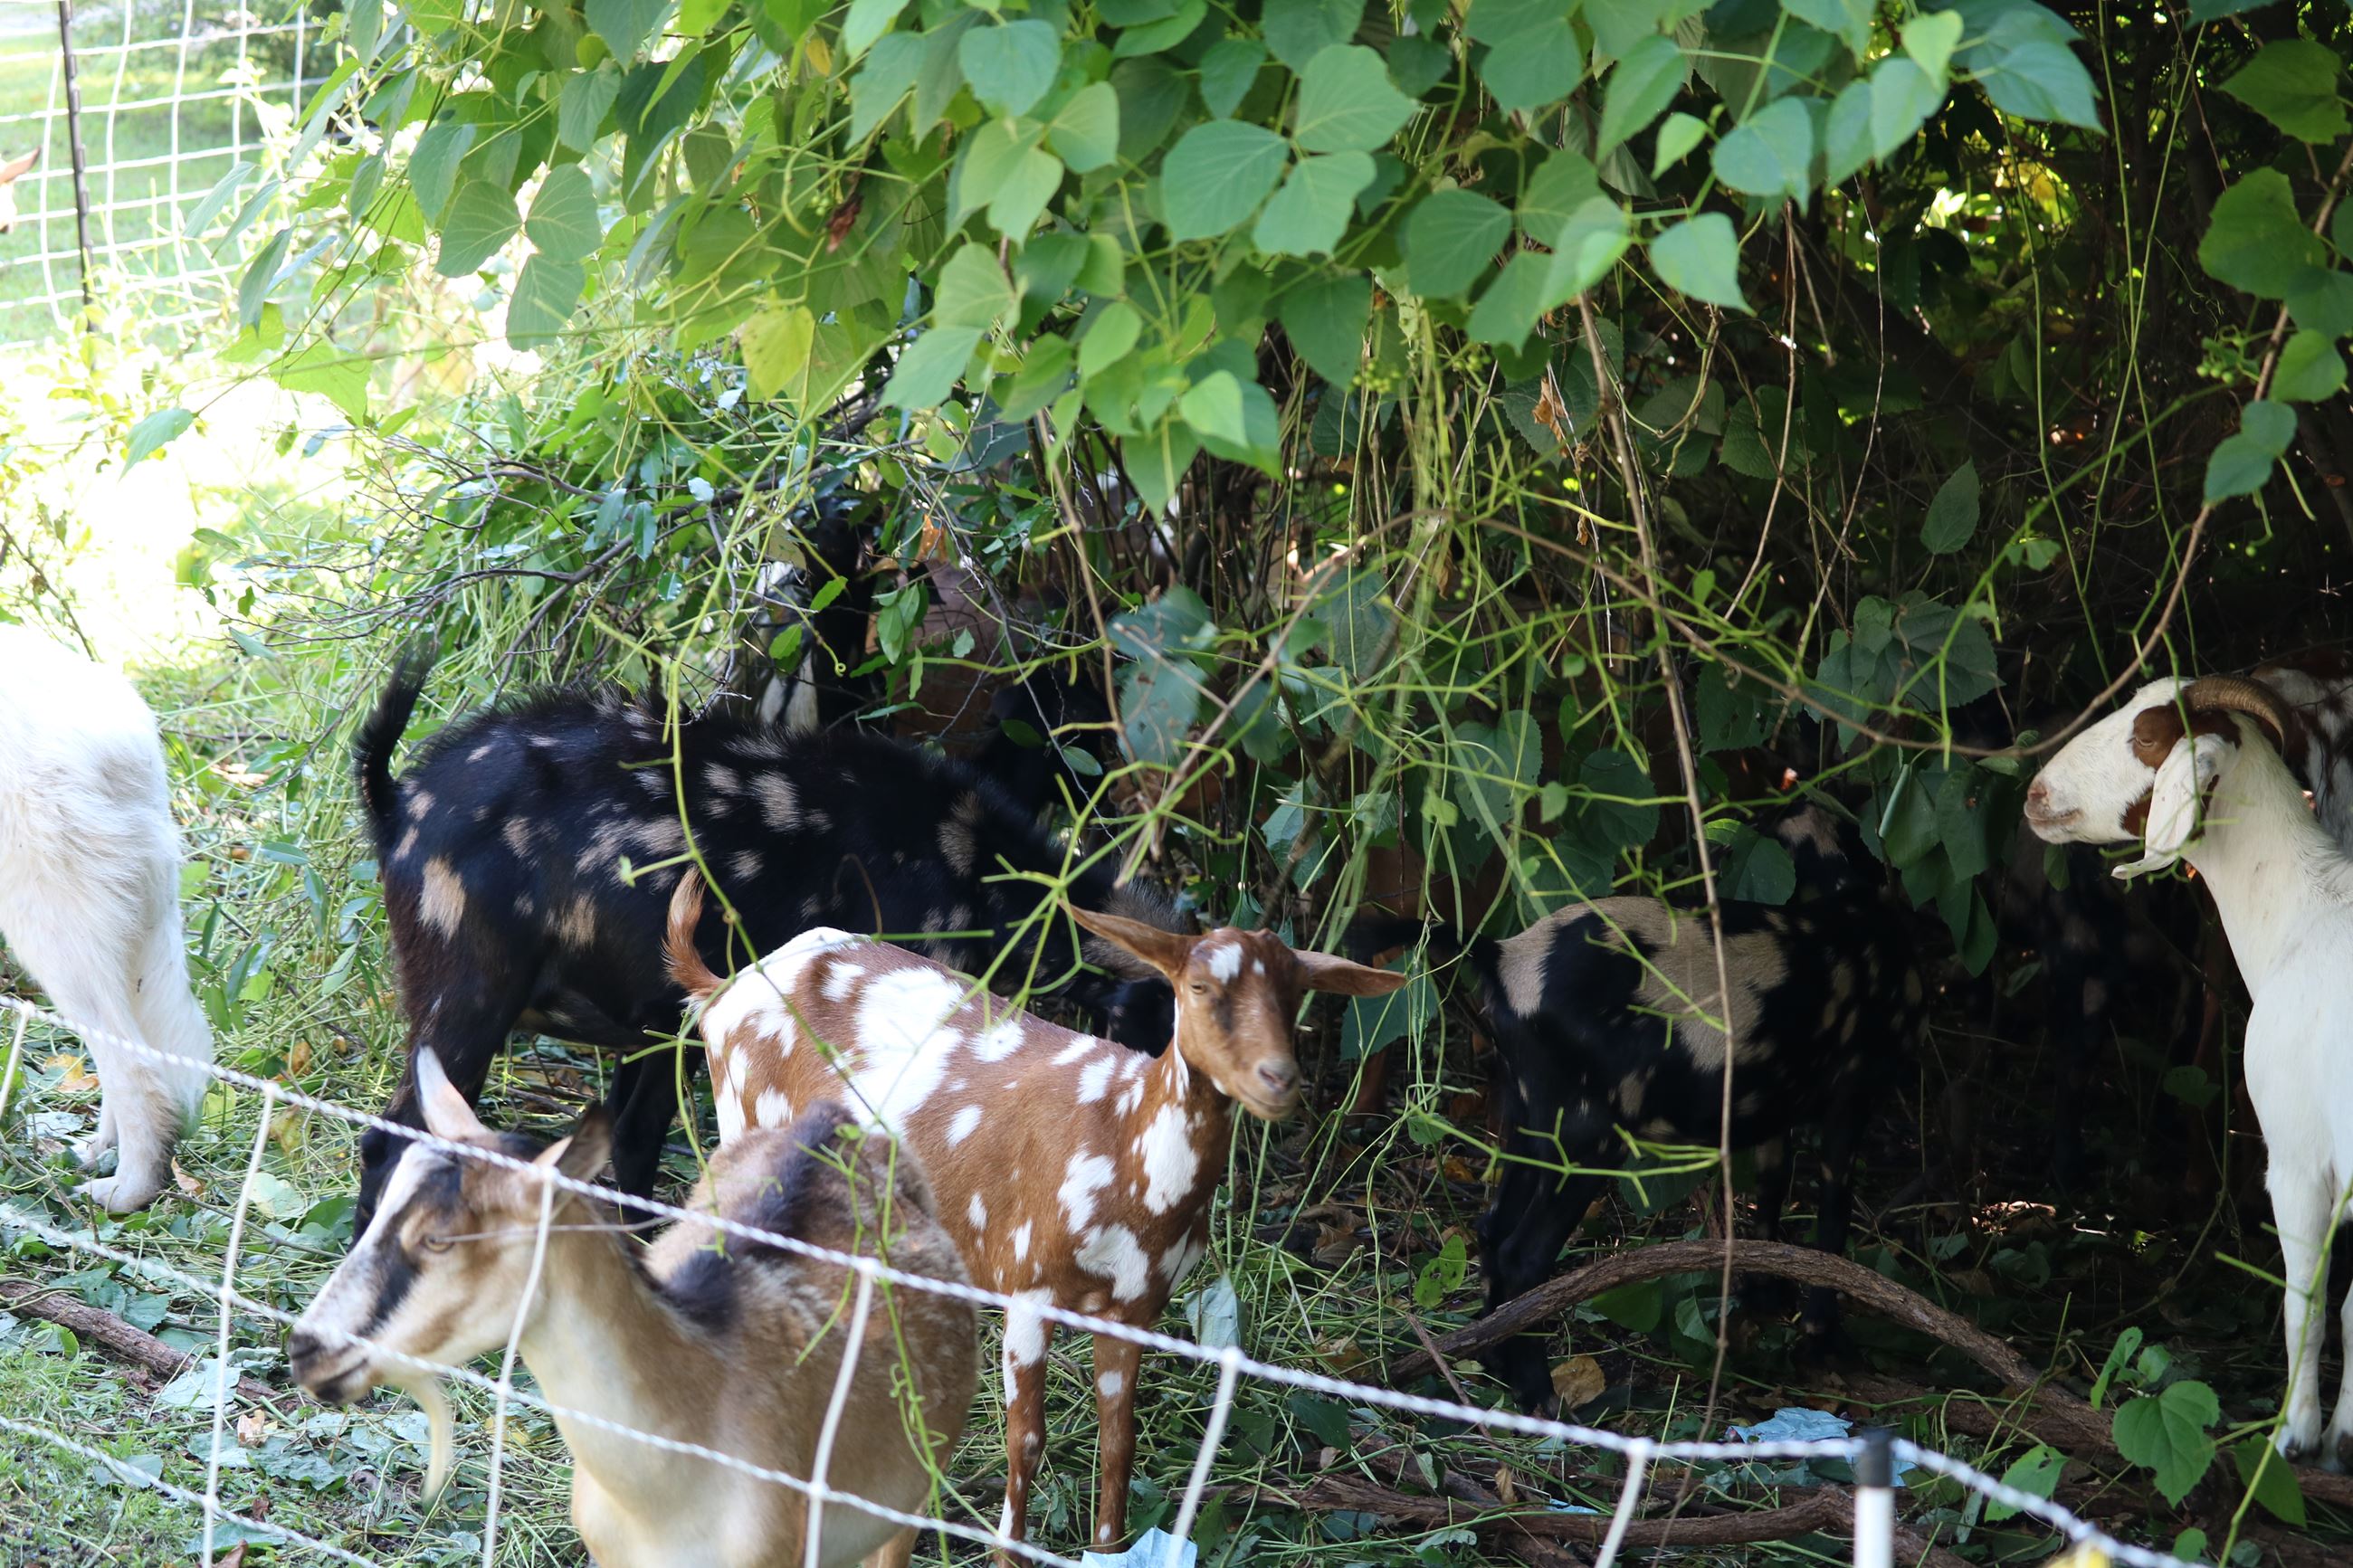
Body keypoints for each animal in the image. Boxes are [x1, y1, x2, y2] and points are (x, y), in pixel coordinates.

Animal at [665, 872, 1404, 1553]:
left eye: (1297, 992)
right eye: (1197, 988)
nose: (1279, 1079)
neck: (1123, 1143)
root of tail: (720, 988)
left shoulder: (1137, 1304)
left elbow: (1119, 1439)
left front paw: (1108, 1548)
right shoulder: (1027, 1282)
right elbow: (1026, 1439)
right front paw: (1008, 1551)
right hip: (744, 1138)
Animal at [2024, 673, 2353, 1468]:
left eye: (2146, 737)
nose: (2037, 792)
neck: (2306, 910)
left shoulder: (2298, 1155)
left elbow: (2306, 1299)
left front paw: (2297, 1434)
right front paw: (2340, 1436)